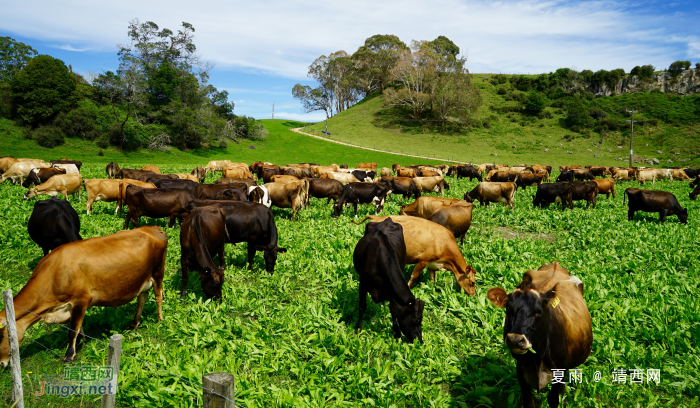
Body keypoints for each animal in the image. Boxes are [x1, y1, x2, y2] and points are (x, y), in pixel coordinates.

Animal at [0, 226, 168, 364]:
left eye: (0, 336)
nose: (1, 363)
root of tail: (153, 228)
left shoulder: (81, 299)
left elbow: (72, 330)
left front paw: (69, 356)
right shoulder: (71, 306)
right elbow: (78, 325)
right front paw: (83, 340)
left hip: (158, 273)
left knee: (158, 296)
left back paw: (159, 319)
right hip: (143, 279)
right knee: (141, 299)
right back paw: (134, 324)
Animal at [486, 262, 592, 408]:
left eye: (539, 312)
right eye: (508, 308)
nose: (515, 339)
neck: (538, 358)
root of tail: (555, 264)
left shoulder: (559, 369)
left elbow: (554, 399)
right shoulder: (521, 368)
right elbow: (528, 400)